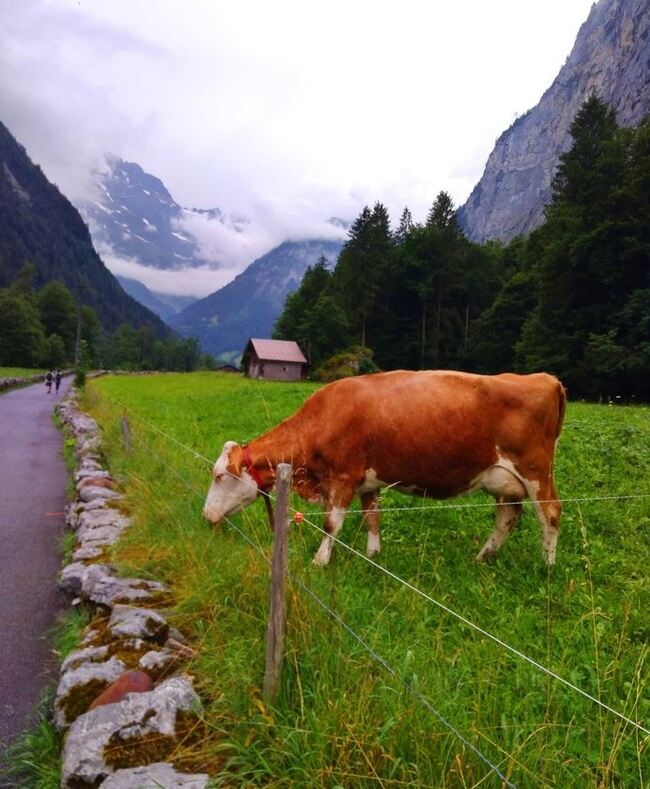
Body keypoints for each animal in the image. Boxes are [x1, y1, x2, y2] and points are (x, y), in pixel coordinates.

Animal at [203, 370, 566, 566]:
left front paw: (320, 561)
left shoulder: (344, 477)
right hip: (504, 481)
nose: (206, 516)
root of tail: (546, 379)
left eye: (219, 476)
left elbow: (332, 524)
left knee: (550, 513)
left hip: (536, 471)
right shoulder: (369, 482)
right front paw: (373, 555)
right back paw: (483, 557)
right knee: (507, 517)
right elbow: (372, 517)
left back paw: (547, 566)